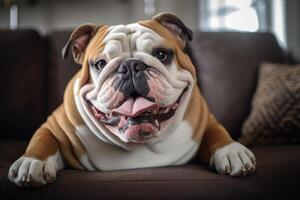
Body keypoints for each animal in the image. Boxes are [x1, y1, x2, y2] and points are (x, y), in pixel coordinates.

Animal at [8, 13, 255, 187]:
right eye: (100, 64)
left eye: (161, 54)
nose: (131, 65)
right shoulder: (54, 124)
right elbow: (43, 140)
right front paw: (33, 163)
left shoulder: (205, 119)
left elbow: (217, 132)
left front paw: (232, 151)